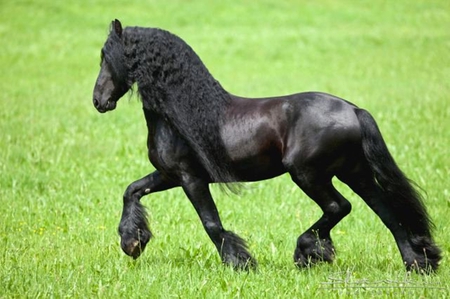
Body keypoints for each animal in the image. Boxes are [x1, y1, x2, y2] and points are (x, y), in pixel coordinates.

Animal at [91, 19, 440, 274]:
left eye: (107, 57)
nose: (98, 101)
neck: (181, 114)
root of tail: (353, 110)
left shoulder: (191, 178)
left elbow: (211, 223)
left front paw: (240, 263)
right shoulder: (169, 175)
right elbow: (131, 191)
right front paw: (132, 243)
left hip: (308, 174)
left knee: (339, 207)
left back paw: (307, 253)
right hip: (354, 172)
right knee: (386, 211)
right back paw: (417, 263)